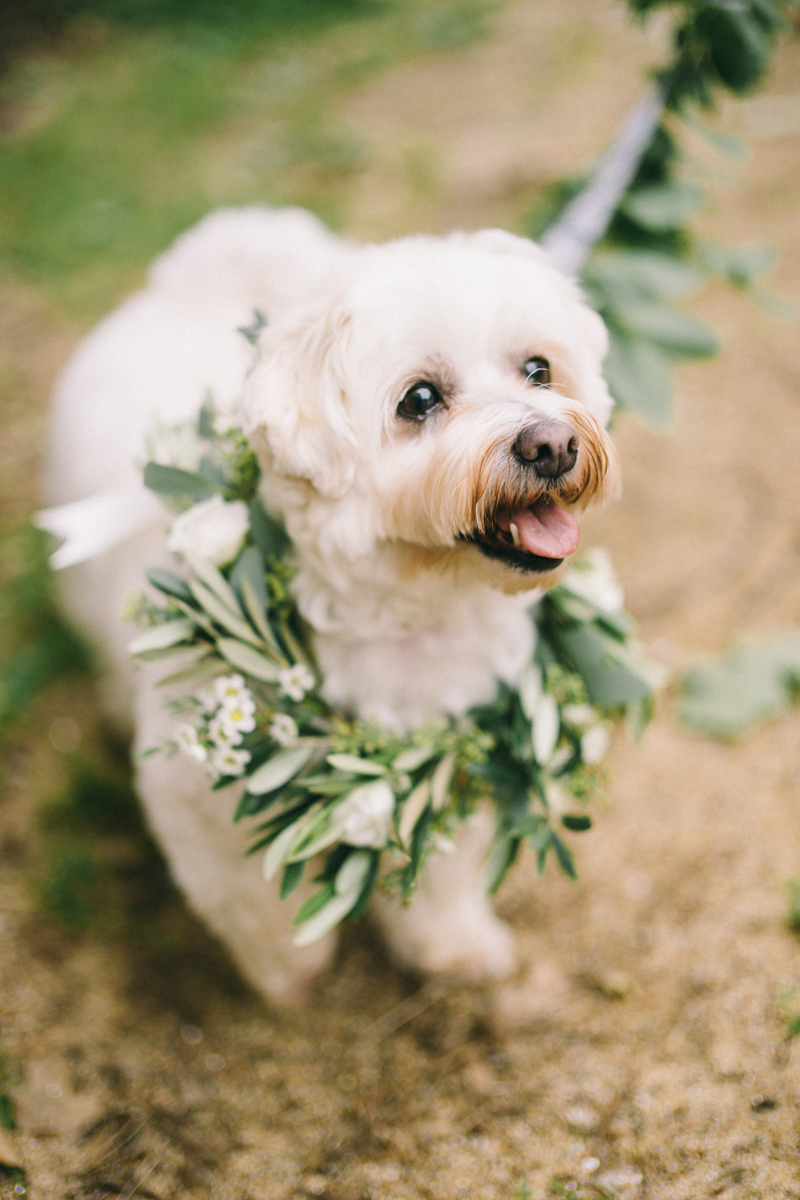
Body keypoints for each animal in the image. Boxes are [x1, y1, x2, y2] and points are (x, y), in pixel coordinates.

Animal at [43, 206, 618, 1003]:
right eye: (418, 400)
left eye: (538, 369)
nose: (553, 442)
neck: (411, 616)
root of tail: (188, 282)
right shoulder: (199, 804)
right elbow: (255, 902)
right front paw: (290, 974)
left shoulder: (444, 756)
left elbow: (439, 874)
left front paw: (455, 946)